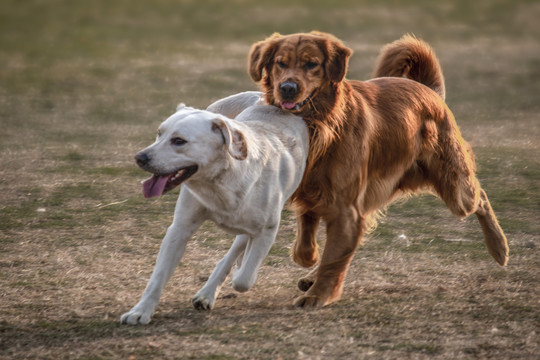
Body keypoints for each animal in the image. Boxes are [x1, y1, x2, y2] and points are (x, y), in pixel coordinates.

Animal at [122, 91, 308, 324]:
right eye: (159, 133)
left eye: (179, 141)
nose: (139, 158)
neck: (219, 183)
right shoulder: (179, 229)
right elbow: (158, 277)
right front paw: (141, 311)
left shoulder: (267, 230)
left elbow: (244, 278)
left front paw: (241, 272)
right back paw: (207, 294)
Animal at [247, 31, 508, 306]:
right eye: (281, 63)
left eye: (311, 64)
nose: (287, 88)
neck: (321, 125)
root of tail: (428, 89)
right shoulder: (313, 192)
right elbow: (307, 245)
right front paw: (311, 265)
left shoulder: (348, 209)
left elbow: (333, 259)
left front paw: (319, 295)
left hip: (455, 189)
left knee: (481, 198)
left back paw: (499, 247)